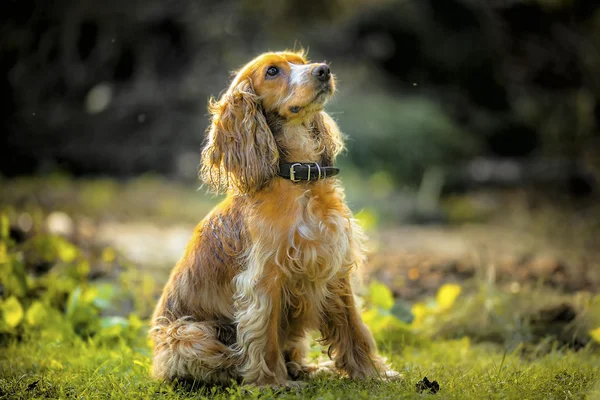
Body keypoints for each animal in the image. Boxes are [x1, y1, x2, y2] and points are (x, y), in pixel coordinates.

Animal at [149, 49, 398, 388]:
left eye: (302, 62)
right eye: (272, 72)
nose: (323, 70)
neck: (300, 181)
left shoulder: (334, 265)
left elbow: (354, 327)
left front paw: (373, 373)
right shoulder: (264, 278)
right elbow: (264, 335)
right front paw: (272, 384)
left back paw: (309, 368)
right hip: (187, 334)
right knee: (215, 362)